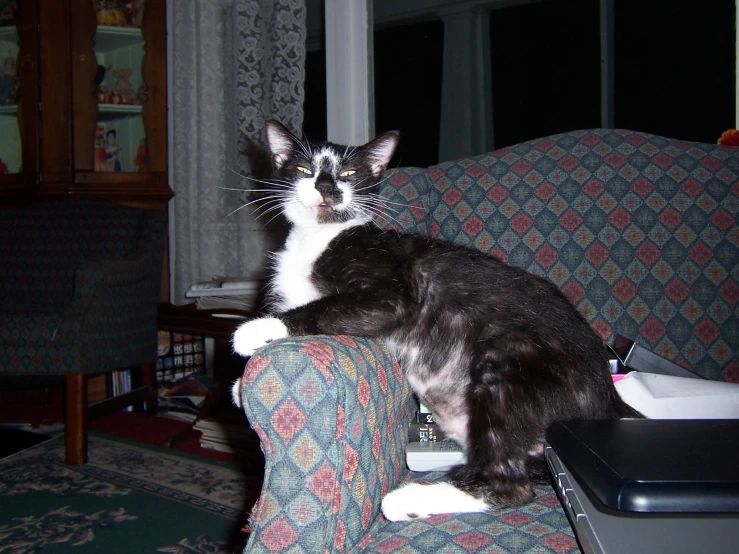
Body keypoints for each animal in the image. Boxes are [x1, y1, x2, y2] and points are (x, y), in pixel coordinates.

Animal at [233, 118, 640, 520]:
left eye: (348, 172)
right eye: (304, 169)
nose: (326, 187)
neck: (318, 237)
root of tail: (608, 396)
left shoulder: (396, 294)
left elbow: (325, 307)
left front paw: (256, 330)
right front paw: (241, 383)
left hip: (510, 361)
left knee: (510, 485)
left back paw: (409, 501)